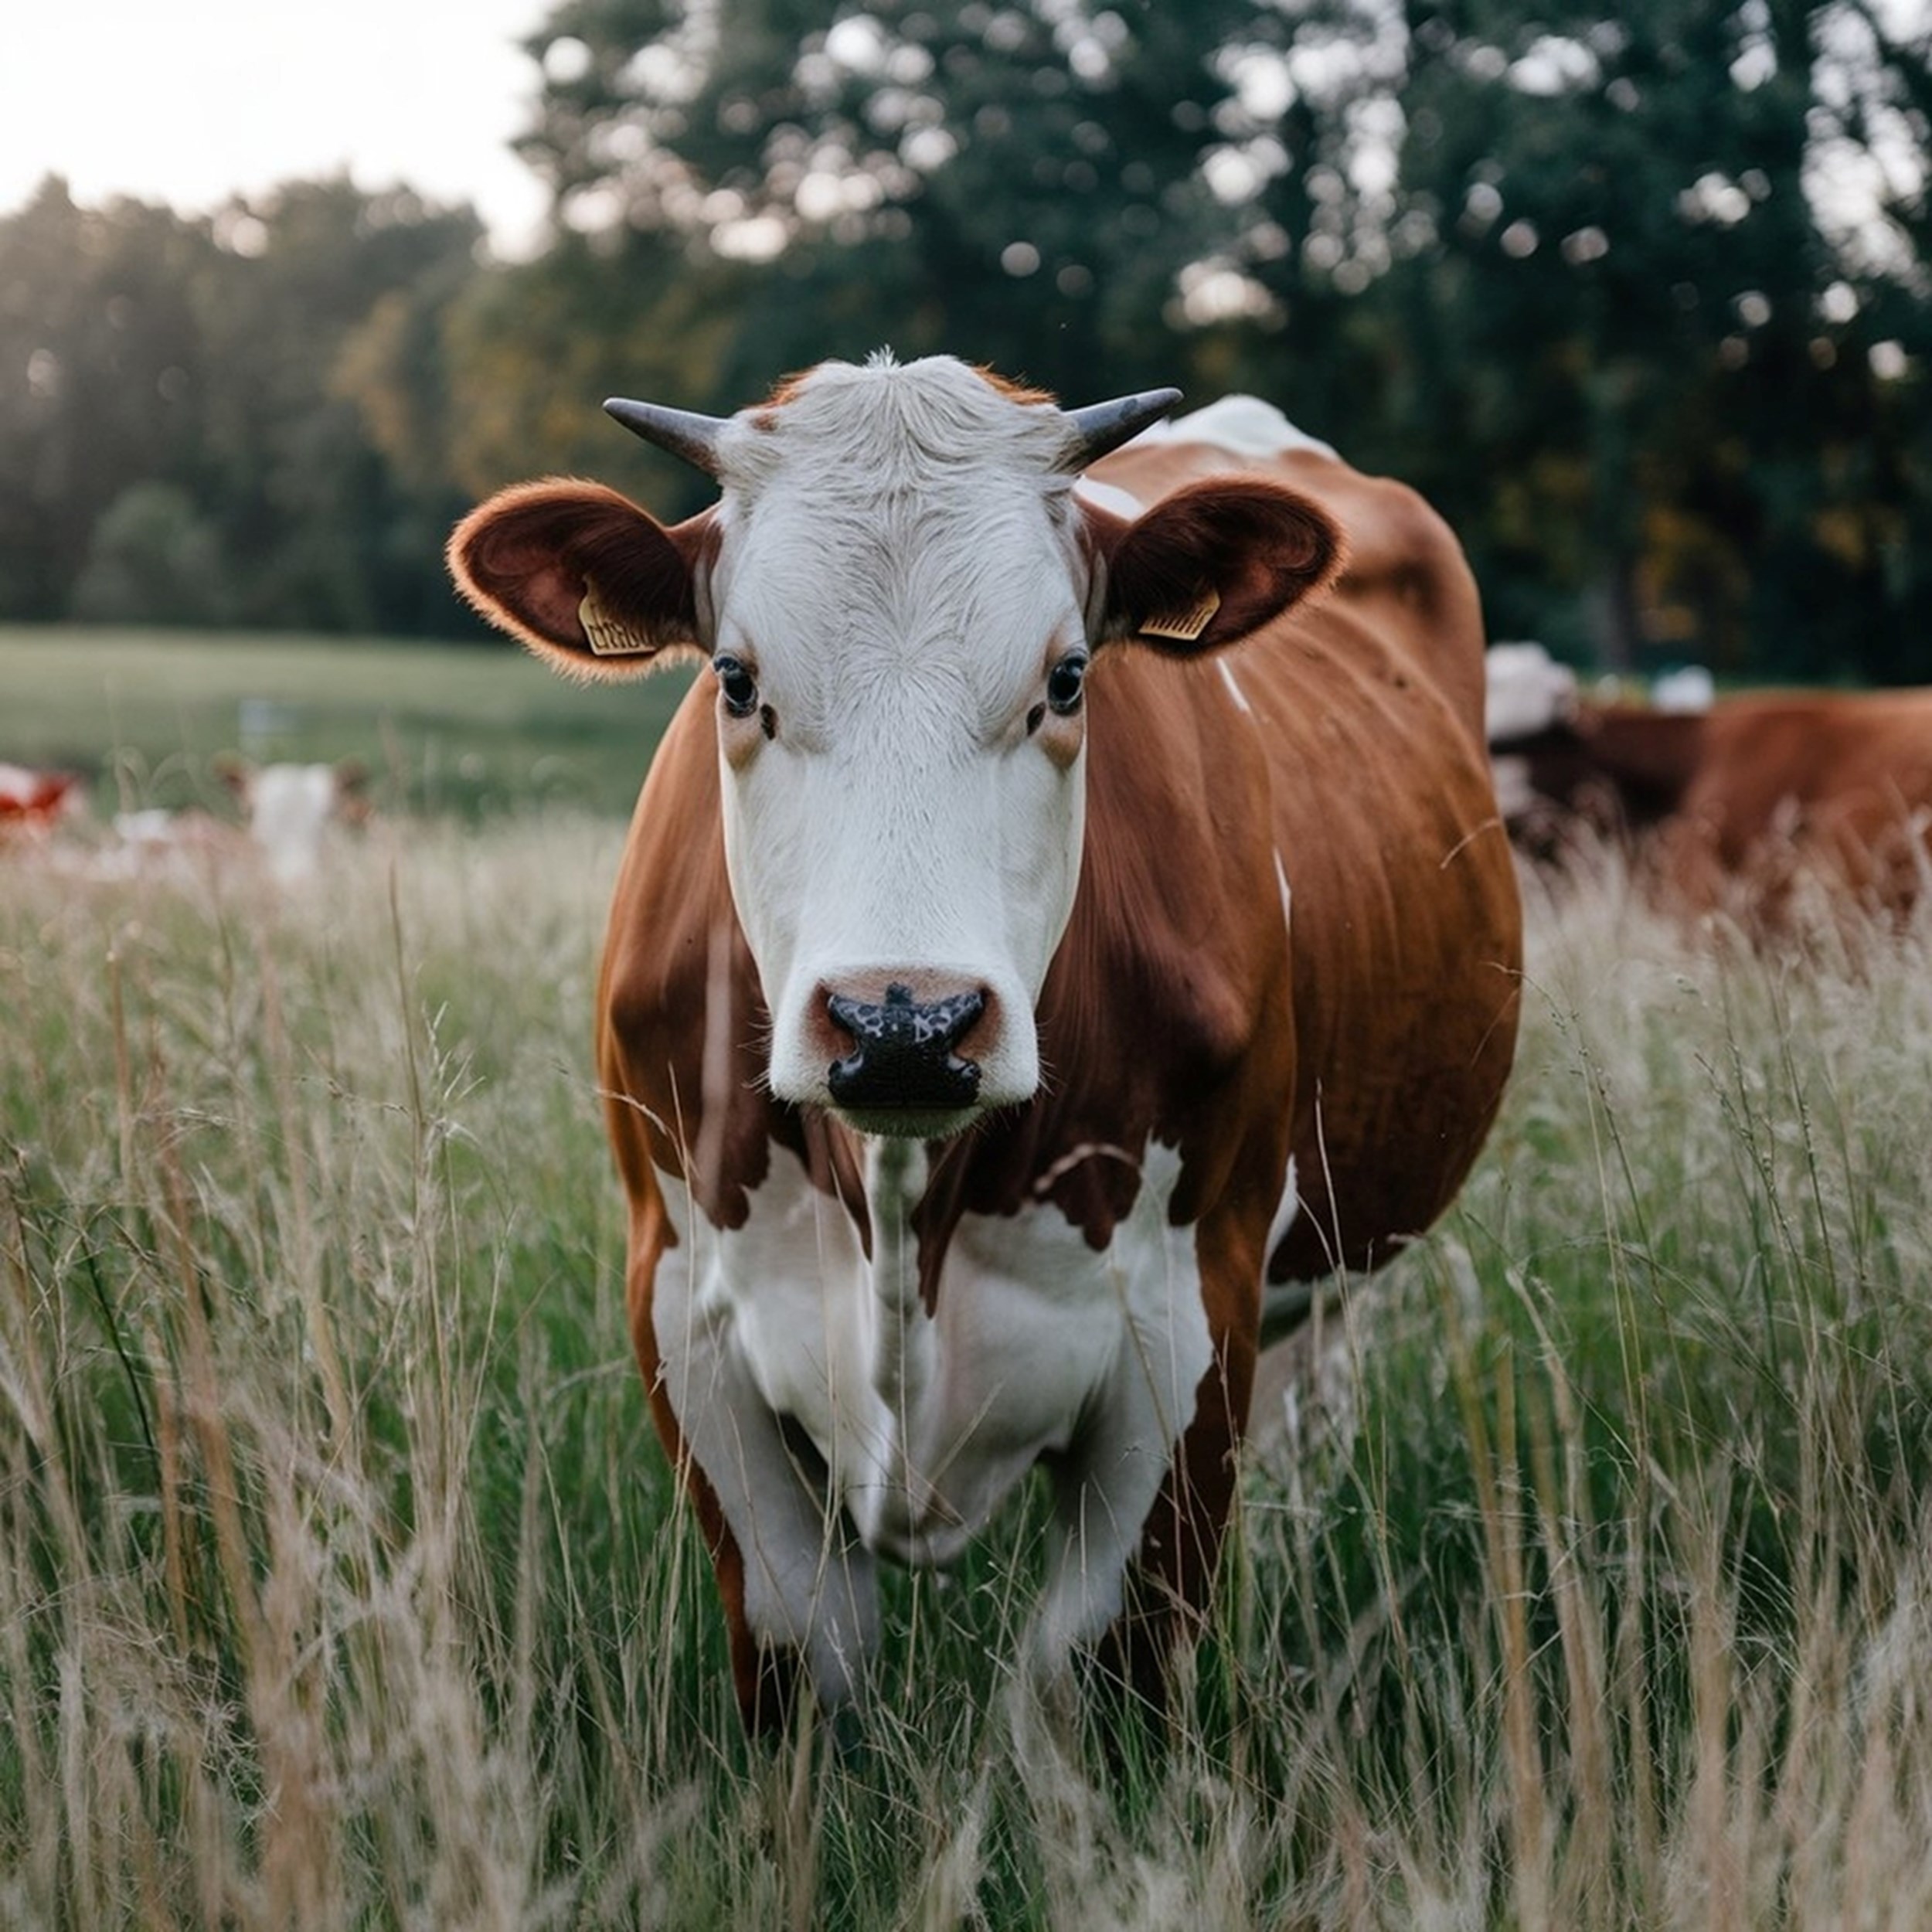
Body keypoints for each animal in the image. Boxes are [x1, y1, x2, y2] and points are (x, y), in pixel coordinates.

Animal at [447, 353, 1522, 1734]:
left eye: (1065, 679)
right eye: (735, 680)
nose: (901, 1022)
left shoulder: (1188, 1331)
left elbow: (1096, 1673)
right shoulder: (685, 1310)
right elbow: (803, 1652)